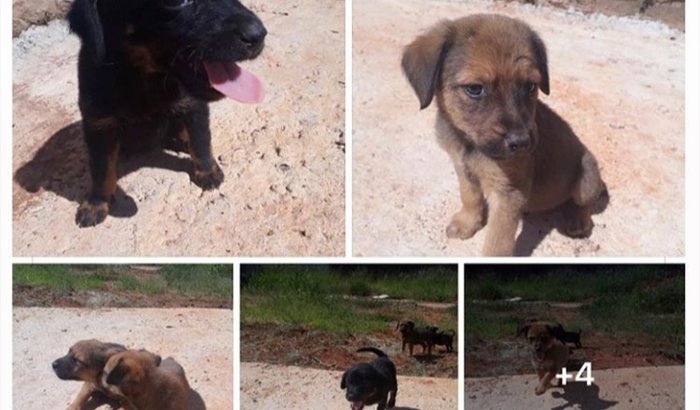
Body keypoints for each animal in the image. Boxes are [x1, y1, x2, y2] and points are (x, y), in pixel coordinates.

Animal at [67, 0, 266, 227]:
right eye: (176, 2)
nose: (259, 35)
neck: (143, 79)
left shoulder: (193, 106)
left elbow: (201, 142)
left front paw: (208, 171)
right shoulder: (98, 123)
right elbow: (101, 170)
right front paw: (95, 204)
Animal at [402, 14, 605, 256]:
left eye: (530, 86)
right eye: (474, 89)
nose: (523, 143)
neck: (470, 144)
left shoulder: (508, 193)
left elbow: (498, 241)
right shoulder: (463, 169)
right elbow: (469, 197)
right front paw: (467, 222)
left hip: (587, 175)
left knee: (583, 202)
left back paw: (578, 220)